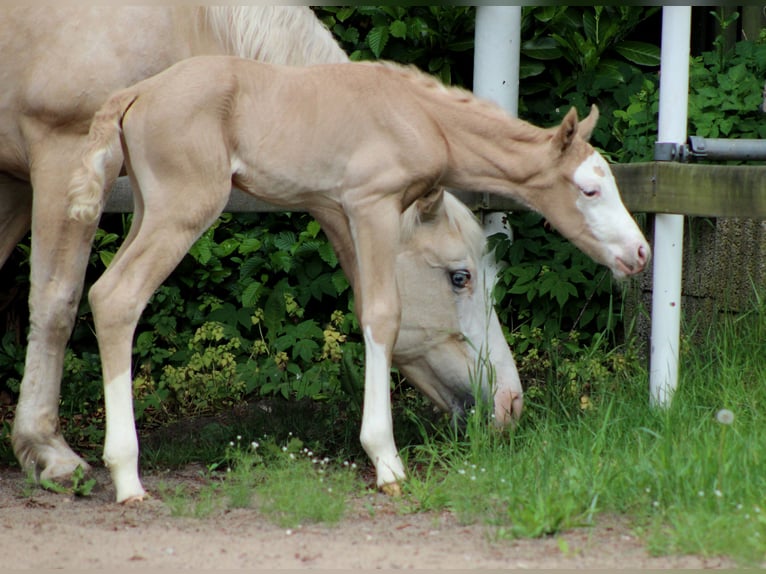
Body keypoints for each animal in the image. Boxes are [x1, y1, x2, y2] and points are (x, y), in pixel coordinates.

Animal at [0, 7, 522, 493]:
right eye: (459, 276)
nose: (511, 403)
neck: (185, 21)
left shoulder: (15, 184)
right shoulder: (60, 155)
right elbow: (56, 302)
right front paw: (48, 451)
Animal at [67, 55, 650, 502]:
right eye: (589, 190)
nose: (640, 253)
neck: (420, 115)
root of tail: (136, 93)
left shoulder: (338, 211)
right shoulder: (373, 204)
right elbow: (383, 316)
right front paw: (386, 462)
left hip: (148, 208)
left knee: (100, 291)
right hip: (184, 207)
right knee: (118, 297)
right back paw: (127, 477)